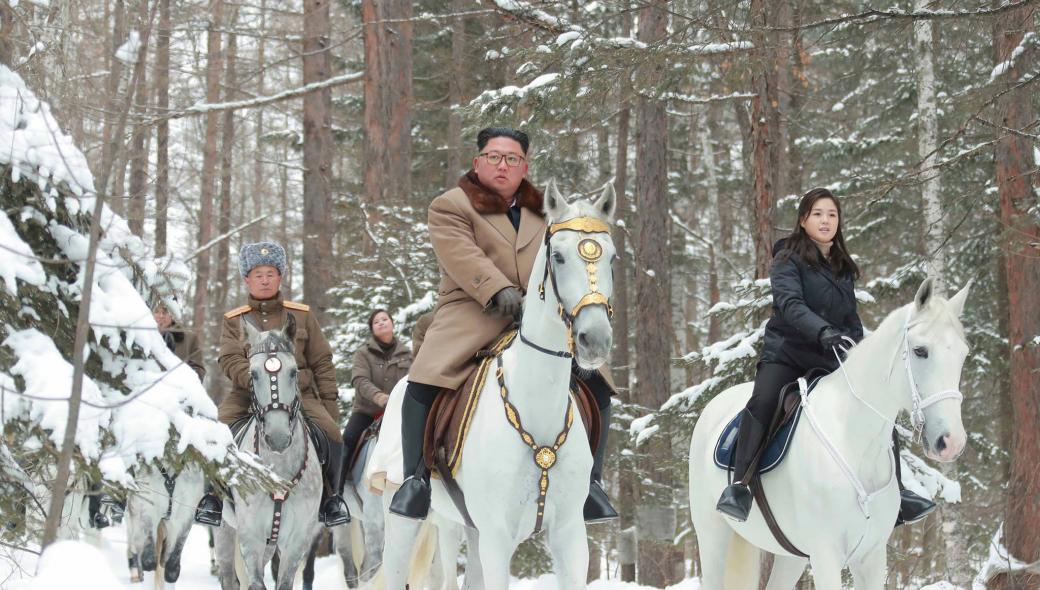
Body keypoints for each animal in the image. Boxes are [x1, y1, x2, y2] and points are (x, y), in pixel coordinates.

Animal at [213, 318, 322, 590]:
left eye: (293, 372)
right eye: (253, 374)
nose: (278, 437)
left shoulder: (297, 540)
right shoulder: (250, 536)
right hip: (224, 530)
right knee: (228, 578)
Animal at [376, 182, 611, 586]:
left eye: (612, 257)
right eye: (559, 257)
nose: (594, 340)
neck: (537, 413)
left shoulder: (569, 536)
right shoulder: (498, 539)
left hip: (467, 528)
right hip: (407, 520)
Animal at [686, 278, 969, 586]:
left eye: (963, 354)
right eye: (920, 350)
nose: (952, 442)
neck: (853, 442)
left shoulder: (871, 556)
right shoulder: (825, 556)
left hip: (792, 556)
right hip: (713, 538)